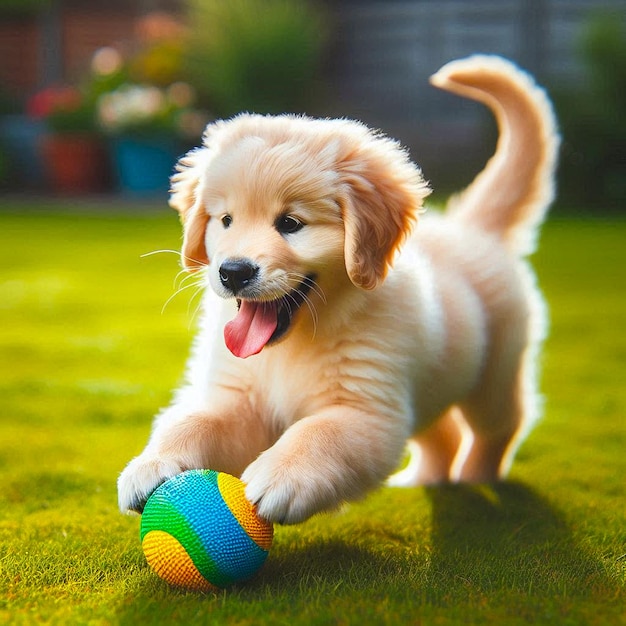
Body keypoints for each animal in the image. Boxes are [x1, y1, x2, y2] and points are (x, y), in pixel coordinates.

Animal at [117, 54, 556, 520]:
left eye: (291, 223)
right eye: (226, 220)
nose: (232, 272)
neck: (294, 344)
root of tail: (472, 227)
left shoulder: (367, 409)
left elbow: (318, 431)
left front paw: (281, 476)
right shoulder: (239, 399)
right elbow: (192, 422)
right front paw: (150, 464)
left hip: (495, 375)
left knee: (501, 427)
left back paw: (477, 476)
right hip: (432, 385)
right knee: (445, 433)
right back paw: (425, 479)